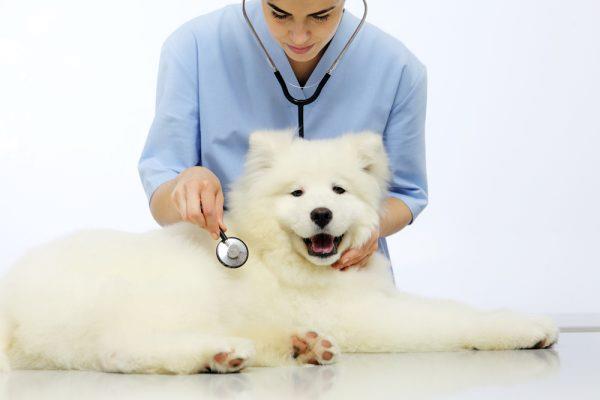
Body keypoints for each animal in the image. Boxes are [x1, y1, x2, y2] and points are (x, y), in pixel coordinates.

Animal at [0, 131, 556, 376]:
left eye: (338, 190)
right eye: (297, 193)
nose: (321, 215)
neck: (282, 256)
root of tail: (14, 306)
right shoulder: (367, 316)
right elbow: (451, 317)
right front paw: (527, 327)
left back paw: (301, 346)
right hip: (170, 294)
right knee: (119, 350)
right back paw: (222, 353)